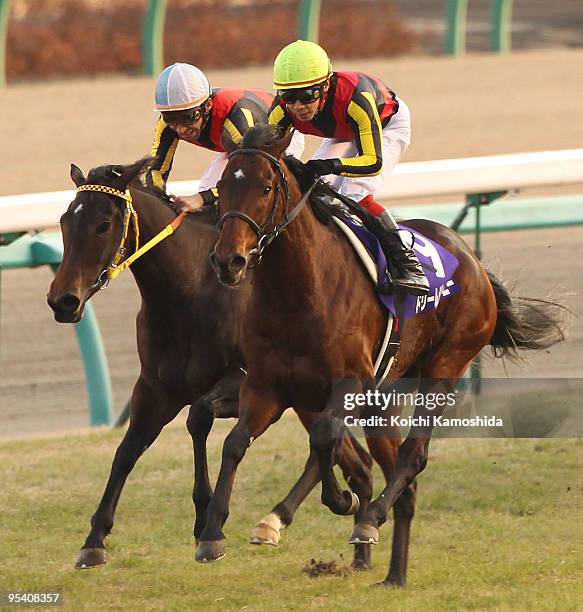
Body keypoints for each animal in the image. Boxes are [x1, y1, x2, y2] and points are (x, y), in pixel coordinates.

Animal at [44, 160, 374, 572]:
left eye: (104, 224)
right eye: (64, 220)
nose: (63, 301)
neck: (189, 290)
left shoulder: (243, 380)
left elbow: (198, 416)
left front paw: (207, 521)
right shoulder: (155, 389)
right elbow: (127, 449)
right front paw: (94, 540)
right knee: (355, 460)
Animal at [200, 123, 564, 584]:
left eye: (265, 187)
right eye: (223, 187)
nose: (228, 261)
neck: (297, 293)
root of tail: (472, 261)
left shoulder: (349, 382)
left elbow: (325, 438)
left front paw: (342, 502)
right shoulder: (268, 387)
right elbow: (235, 443)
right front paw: (212, 533)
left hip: (444, 366)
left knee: (412, 456)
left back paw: (370, 521)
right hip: (382, 396)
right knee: (387, 467)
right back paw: (386, 568)